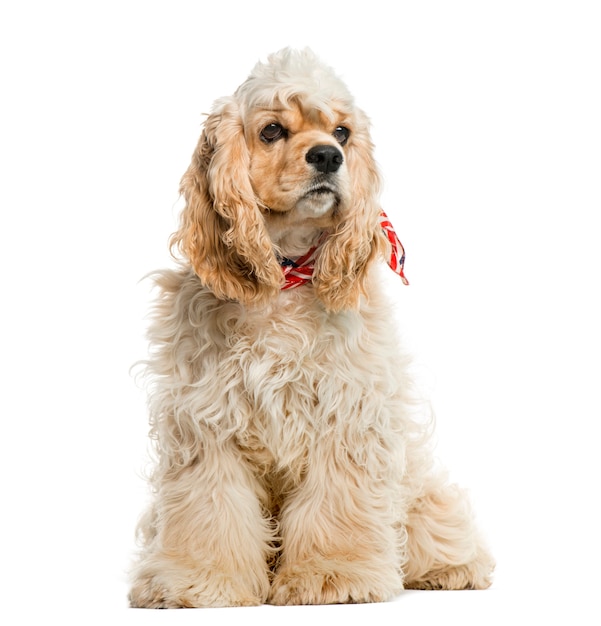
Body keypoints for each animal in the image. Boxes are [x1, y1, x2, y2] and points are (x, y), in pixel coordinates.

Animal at [127, 47, 492, 604]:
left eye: (342, 132)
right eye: (272, 130)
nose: (327, 156)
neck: (285, 277)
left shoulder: (346, 413)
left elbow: (336, 504)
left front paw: (334, 576)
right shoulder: (207, 420)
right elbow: (208, 509)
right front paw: (196, 581)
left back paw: (455, 567)